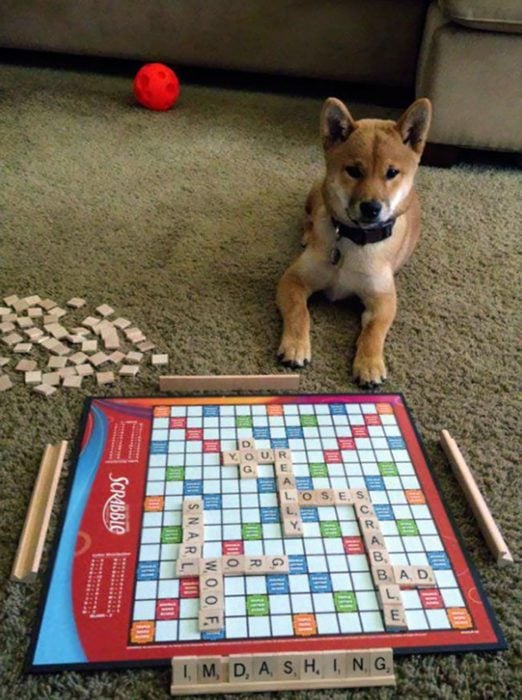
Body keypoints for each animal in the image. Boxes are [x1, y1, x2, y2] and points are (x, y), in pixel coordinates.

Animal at [274, 95, 428, 386]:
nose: (371, 208)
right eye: (354, 171)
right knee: (308, 217)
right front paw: (296, 345)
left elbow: (373, 332)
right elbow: (300, 313)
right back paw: (307, 234)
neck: (354, 240)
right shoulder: (293, 280)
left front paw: (369, 364)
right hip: (316, 194)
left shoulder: (382, 300)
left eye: (392, 172)